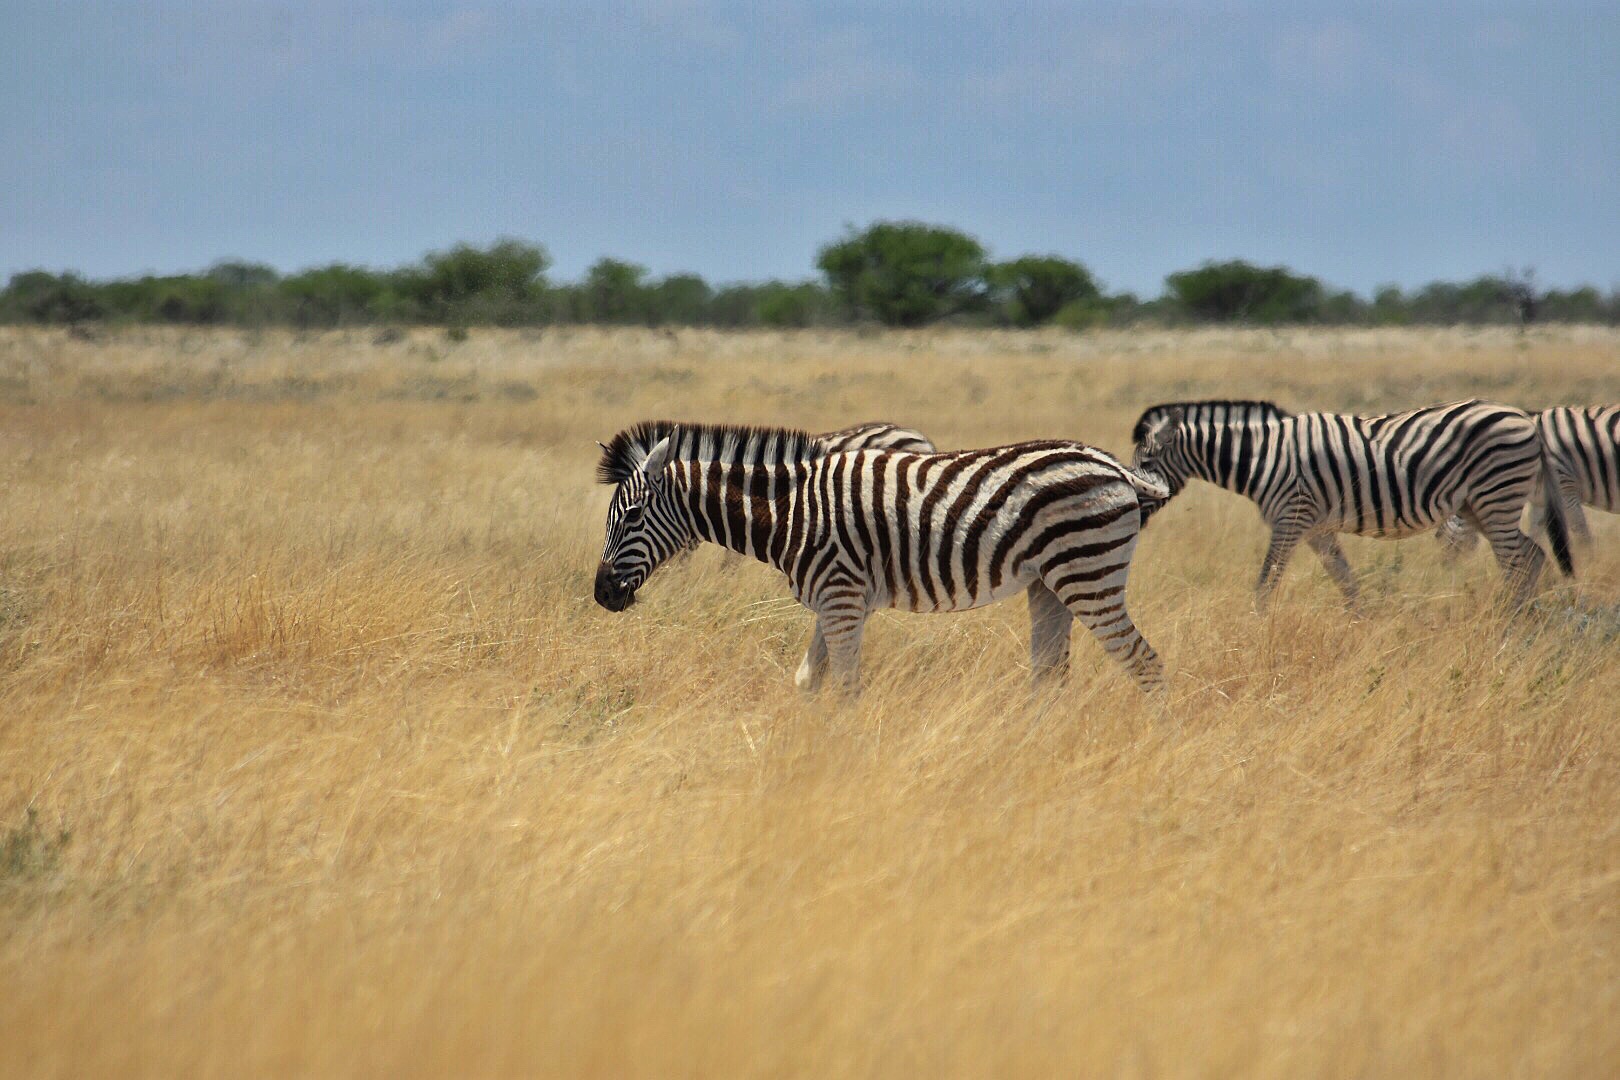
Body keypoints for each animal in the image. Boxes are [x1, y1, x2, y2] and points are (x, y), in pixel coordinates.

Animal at [596, 420, 1166, 693]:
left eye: (632, 516)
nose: (601, 596)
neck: (791, 510)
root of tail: (1113, 465)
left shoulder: (842, 599)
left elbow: (847, 687)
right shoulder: (835, 602)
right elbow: (809, 681)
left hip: (1087, 573)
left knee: (1145, 663)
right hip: (1047, 583)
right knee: (1050, 675)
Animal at [1127, 401, 1568, 612]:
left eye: (1146, 463)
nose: (1133, 510)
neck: (1259, 458)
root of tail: (1527, 421)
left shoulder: (1291, 517)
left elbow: (1266, 582)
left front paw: (1254, 625)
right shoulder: (1316, 528)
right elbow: (1346, 582)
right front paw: (1363, 624)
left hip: (1496, 496)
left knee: (1517, 561)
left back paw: (1509, 620)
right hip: (1480, 505)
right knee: (1531, 555)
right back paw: (1522, 617)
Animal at [1438, 404, 1613, 557]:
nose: (1442, 564)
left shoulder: (1565, 488)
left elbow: (1582, 535)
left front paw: (1589, 564)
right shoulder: (1541, 499)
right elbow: (1534, 533)